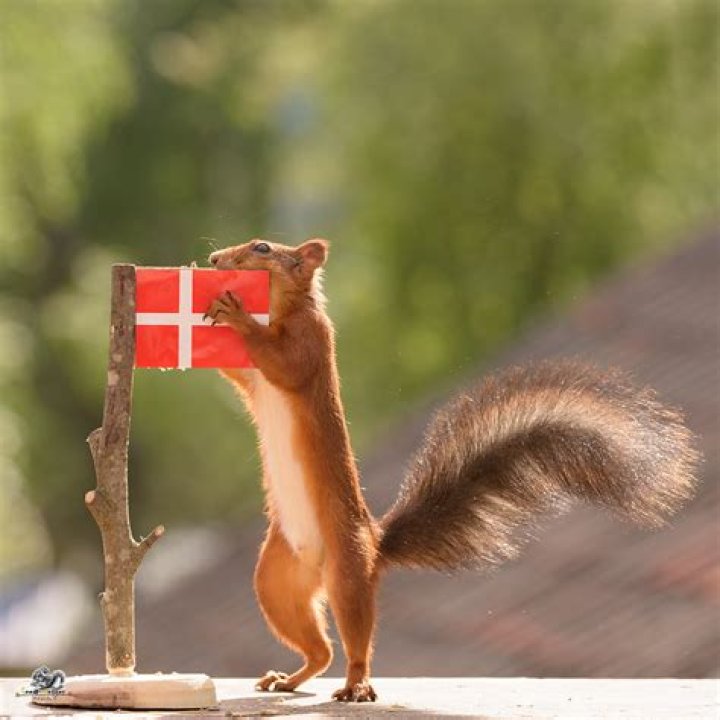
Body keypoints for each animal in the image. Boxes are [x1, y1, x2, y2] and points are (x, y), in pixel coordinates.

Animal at [205, 238, 699, 703]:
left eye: (263, 247)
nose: (212, 259)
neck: (284, 309)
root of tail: (374, 544)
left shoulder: (310, 342)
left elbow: (284, 362)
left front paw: (235, 316)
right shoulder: (255, 378)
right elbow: (244, 376)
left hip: (346, 569)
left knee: (352, 638)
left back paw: (357, 684)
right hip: (277, 580)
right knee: (318, 649)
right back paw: (287, 678)